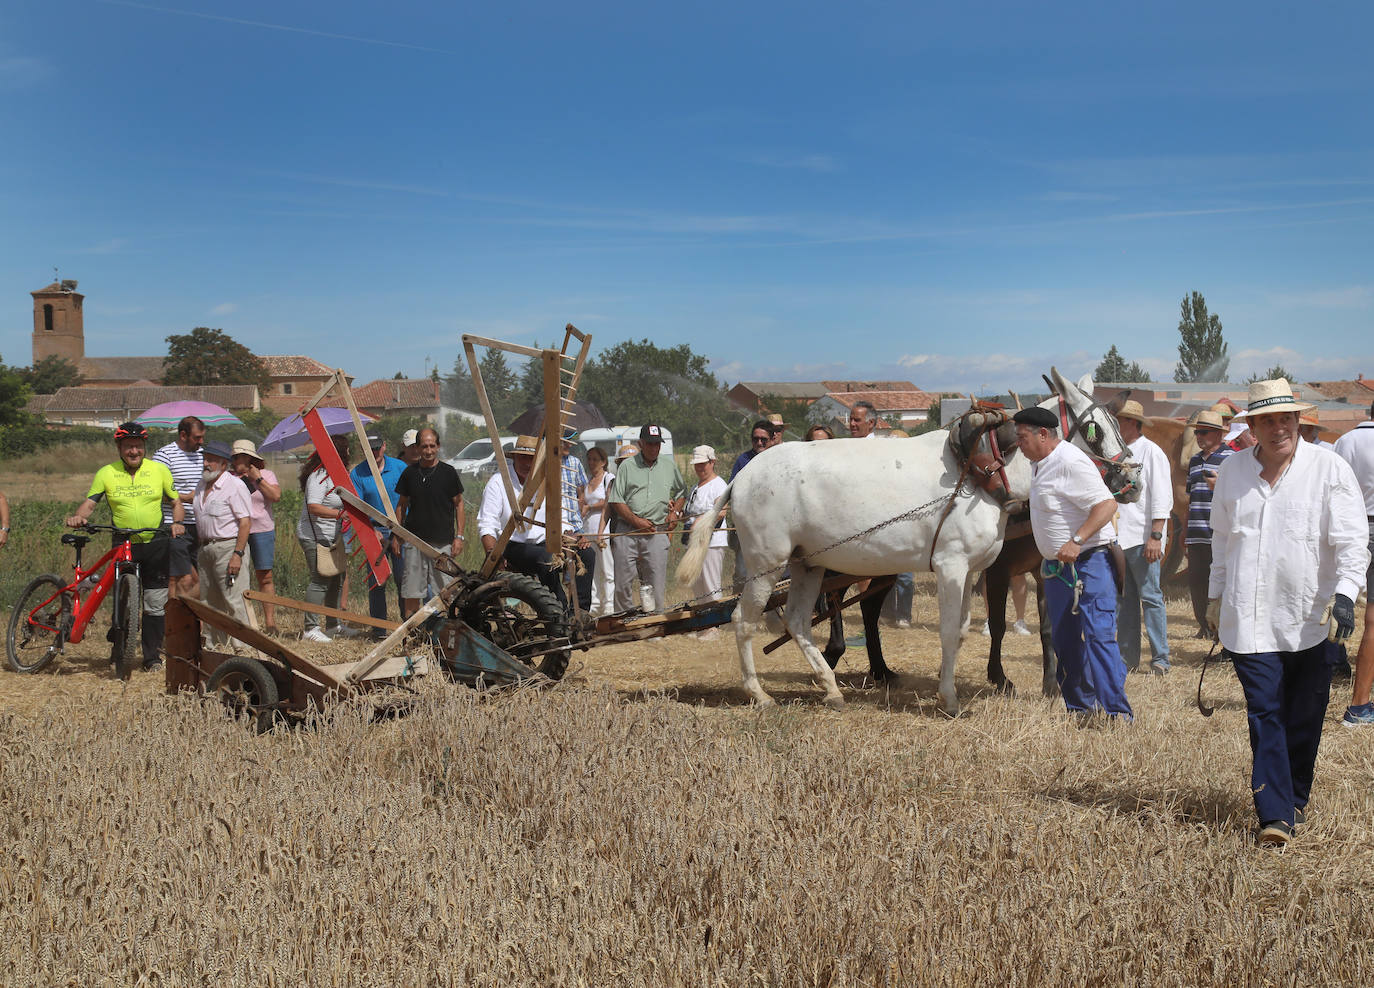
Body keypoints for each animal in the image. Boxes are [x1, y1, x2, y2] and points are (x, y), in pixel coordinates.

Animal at [676, 368, 1137, 714]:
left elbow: (965, 630)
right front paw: (949, 699)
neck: (984, 468)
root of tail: (740, 478)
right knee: (744, 620)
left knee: (797, 621)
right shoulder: (952, 565)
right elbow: (950, 631)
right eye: (1094, 429)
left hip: (808, 564)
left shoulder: (973, 570)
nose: (1131, 480)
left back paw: (831, 688)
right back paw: (759, 694)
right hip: (766, 564)